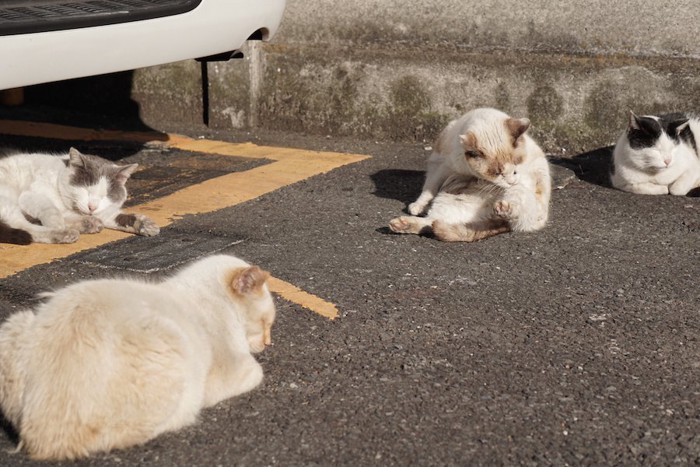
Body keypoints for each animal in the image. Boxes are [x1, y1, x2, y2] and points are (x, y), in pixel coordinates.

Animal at [0, 148, 160, 245]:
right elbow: (52, 210)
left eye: (105, 196)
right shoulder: (29, 195)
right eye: (85, 190)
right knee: (23, 226)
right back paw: (64, 232)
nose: (92, 207)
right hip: (8, 199)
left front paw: (144, 224)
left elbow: (116, 216)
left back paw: (87, 224)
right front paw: (57, 223)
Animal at [0, 254, 276, 462]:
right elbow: (257, 371)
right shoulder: (235, 367)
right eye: (265, 324)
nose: (268, 343)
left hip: (15, 323)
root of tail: (44, 438)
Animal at [392, 108, 548, 243]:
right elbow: (429, 190)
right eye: (497, 173)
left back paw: (504, 209)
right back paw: (401, 224)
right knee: (432, 222)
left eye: (516, 166)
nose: (512, 181)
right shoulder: (441, 167)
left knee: (515, 214)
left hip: (520, 195)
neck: (468, 171)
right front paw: (419, 205)